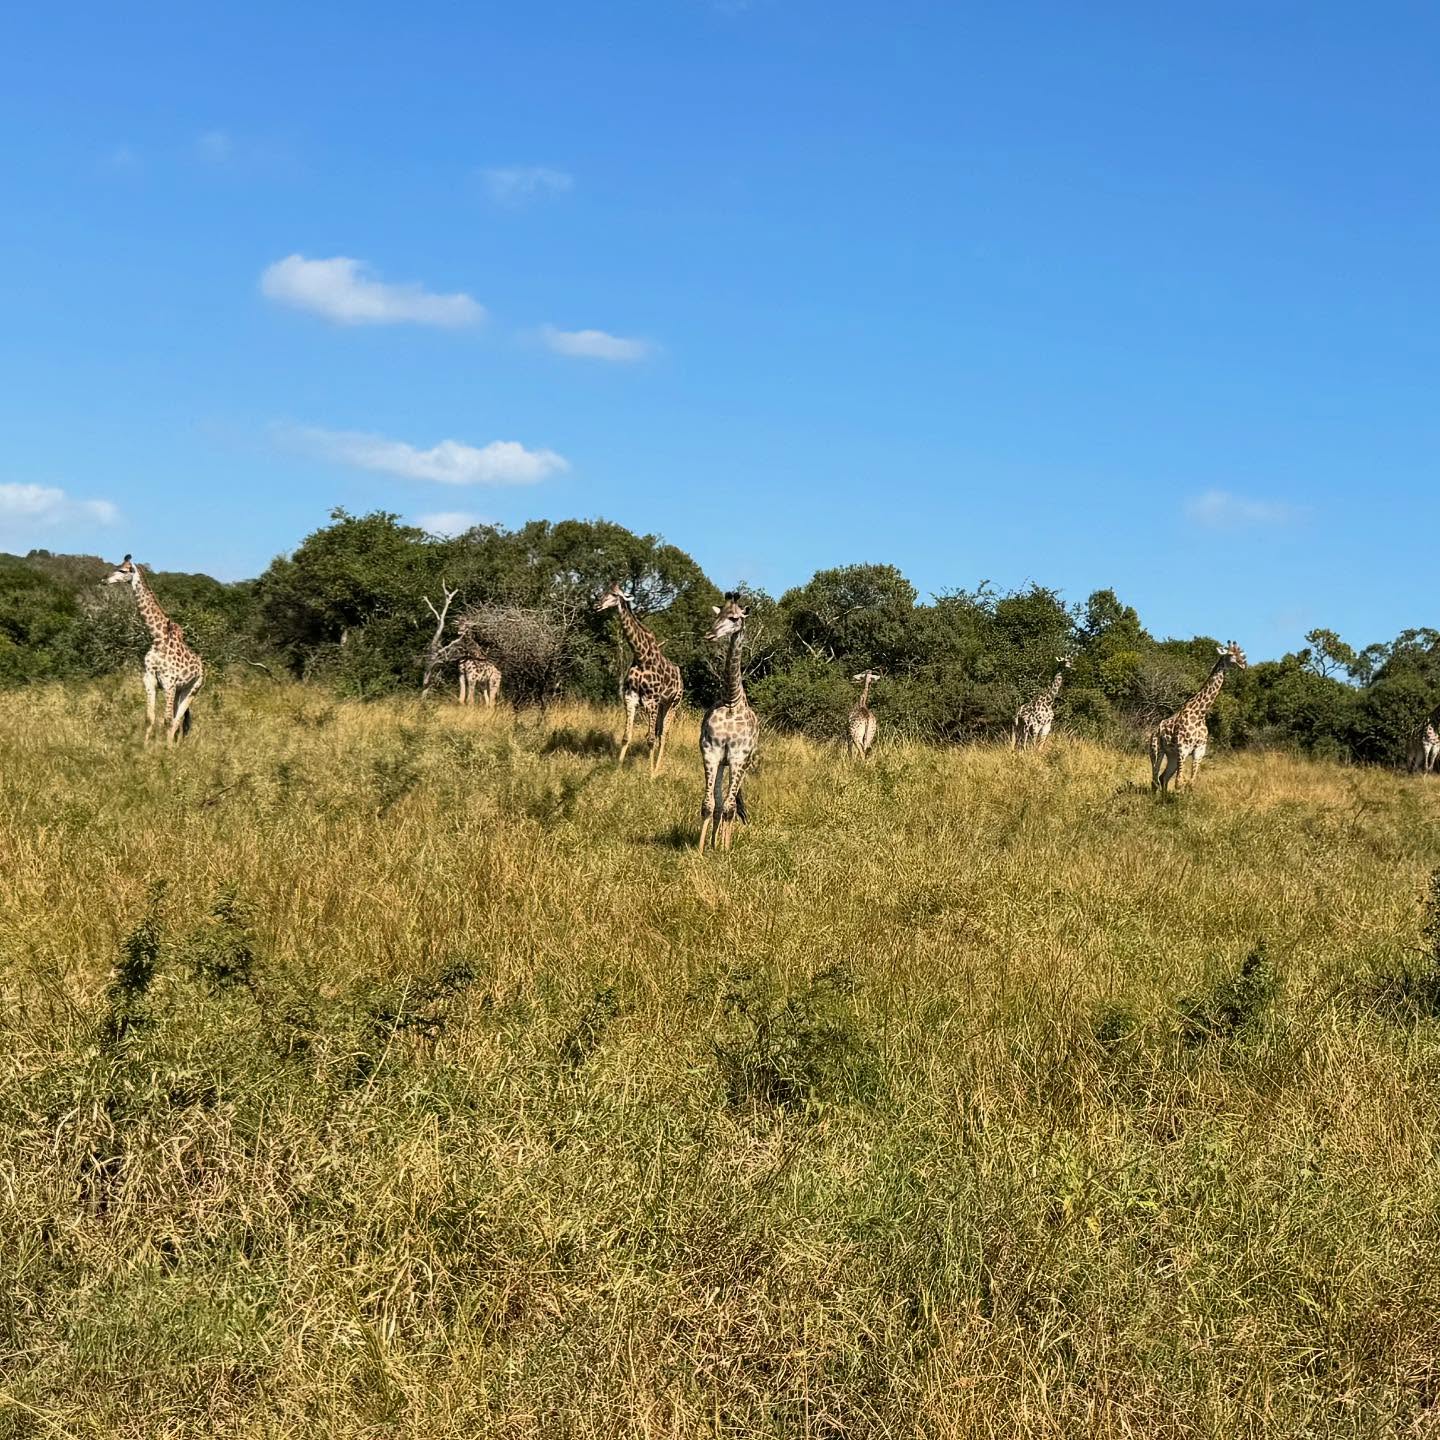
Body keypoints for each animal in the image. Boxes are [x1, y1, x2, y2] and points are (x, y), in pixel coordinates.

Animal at [103, 554, 204, 744]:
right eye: (116, 566)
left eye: (123, 570)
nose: (104, 579)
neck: (157, 637)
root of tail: (203, 668)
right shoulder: (150, 680)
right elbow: (149, 717)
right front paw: (145, 747)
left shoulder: (169, 683)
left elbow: (167, 720)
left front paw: (165, 749)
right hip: (180, 690)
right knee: (179, 720)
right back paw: (177, 743)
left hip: (194, 689)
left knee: (177, 719)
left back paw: (173, 746)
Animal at [593, 580, 684, 774]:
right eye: (603, 591)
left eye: (614, 595)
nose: (597, 605)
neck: (641, 656)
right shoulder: (631, 697)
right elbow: (626, 736)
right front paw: (617, 769)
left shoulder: (651, 701)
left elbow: (650, 739)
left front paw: (649, 774)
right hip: (663, 705)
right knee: (659, 732)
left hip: (674, 703)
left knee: (663, 734)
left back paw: (657, 769)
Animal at [1149, 640, 1248, 793]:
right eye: (1231, 654)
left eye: (1241, 654)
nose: (1243, 664)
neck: (1200, 713)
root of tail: (1154, 731)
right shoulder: (1183, 748)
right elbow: (1179, 782)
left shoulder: (1199, 750)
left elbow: (1191, 783)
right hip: (1156, 750)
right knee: (1155, 778)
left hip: (1171, 755)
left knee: (1163, 777)